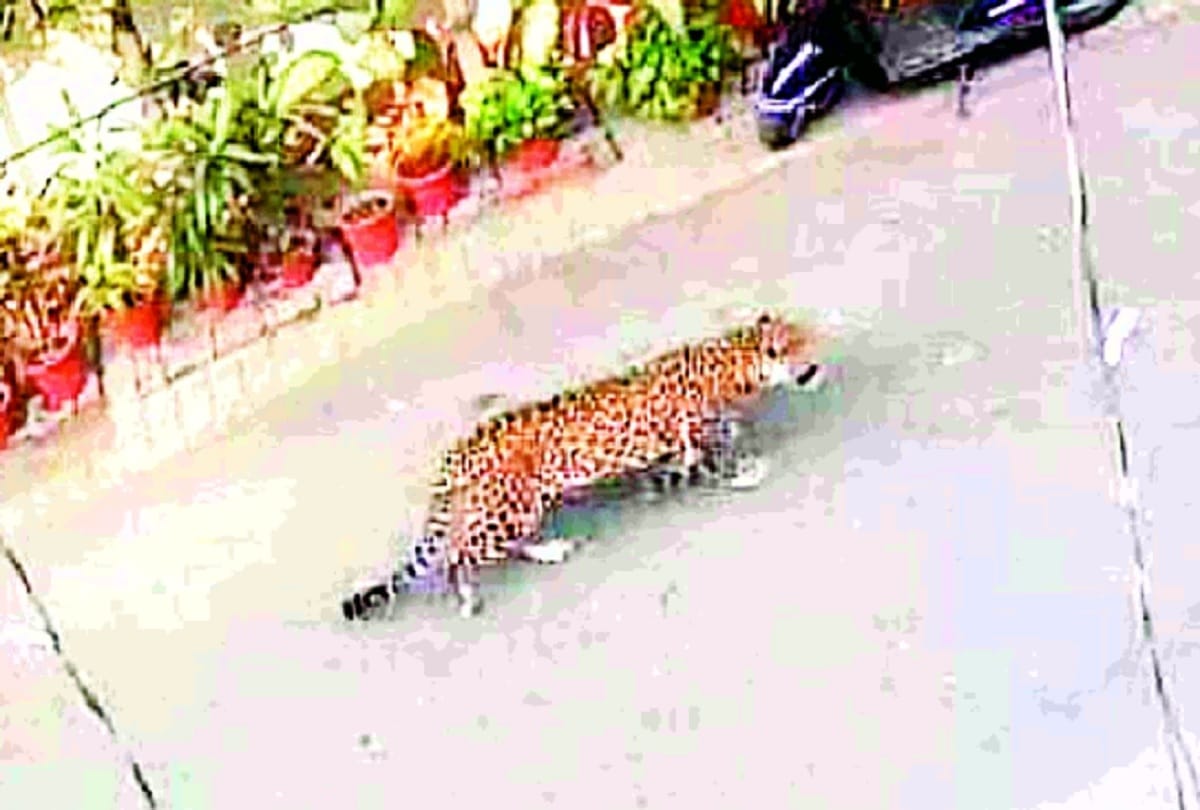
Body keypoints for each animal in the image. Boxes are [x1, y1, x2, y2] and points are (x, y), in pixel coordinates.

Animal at [341, 312, 828, 621]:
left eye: (809, 338)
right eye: (803, 349)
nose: (819, 366)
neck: (736, 356)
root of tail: (461, 448)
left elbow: (704, 449)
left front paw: (669, 479)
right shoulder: (693, 432)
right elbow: (714, 453)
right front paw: (742, 471)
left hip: (510, 508)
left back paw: (545, 550)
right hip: (511, 510)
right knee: (458, 554)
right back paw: (468, 596)